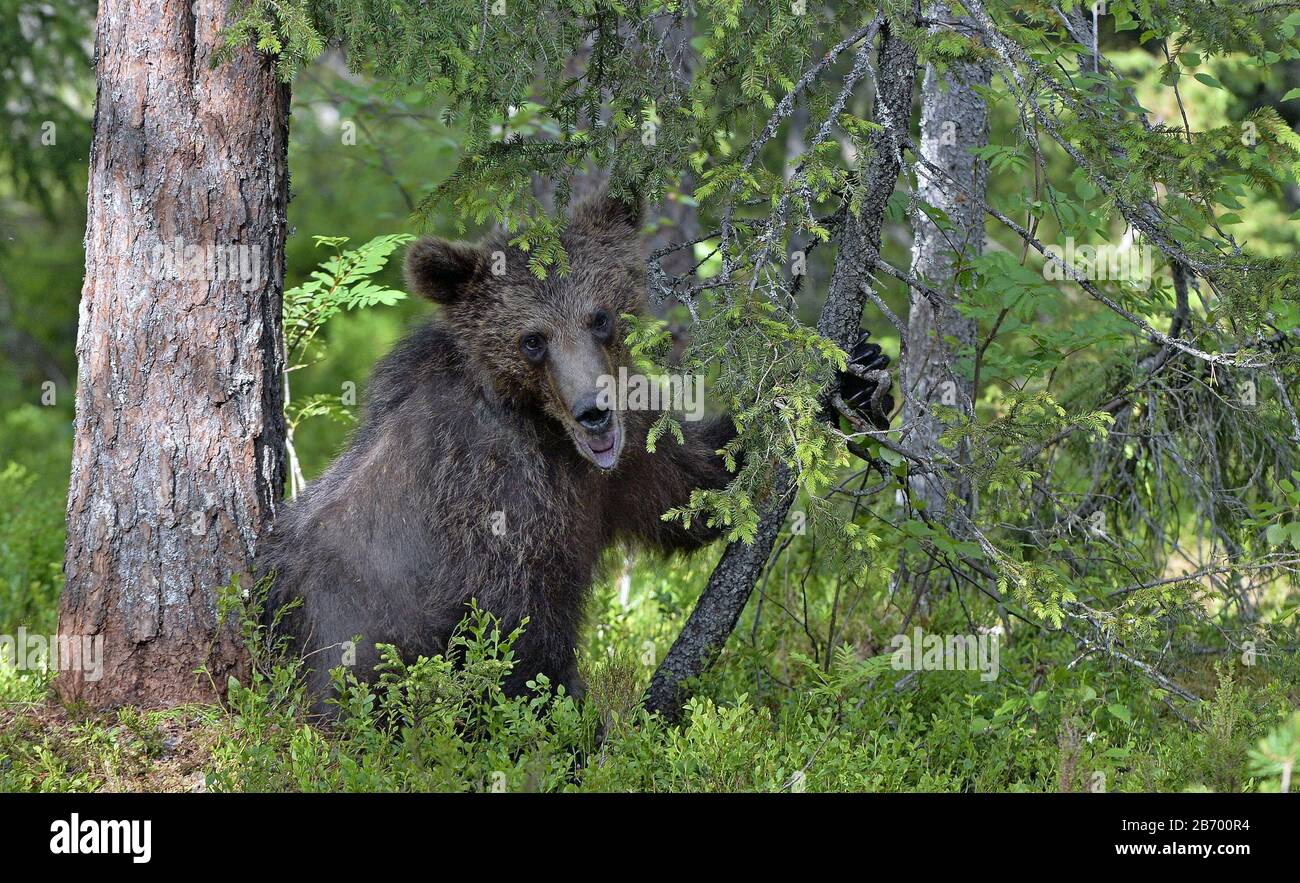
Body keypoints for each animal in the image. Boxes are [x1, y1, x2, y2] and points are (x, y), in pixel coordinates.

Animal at [260, 190, 893, 714]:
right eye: (531, 339)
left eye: (600, 316)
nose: (594, 409)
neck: (551, 437)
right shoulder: (489, 497)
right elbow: (523, 634)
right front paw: (577, 732)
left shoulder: (624, 458)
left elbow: (693, 486)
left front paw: (847, 376)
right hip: (357, 641)